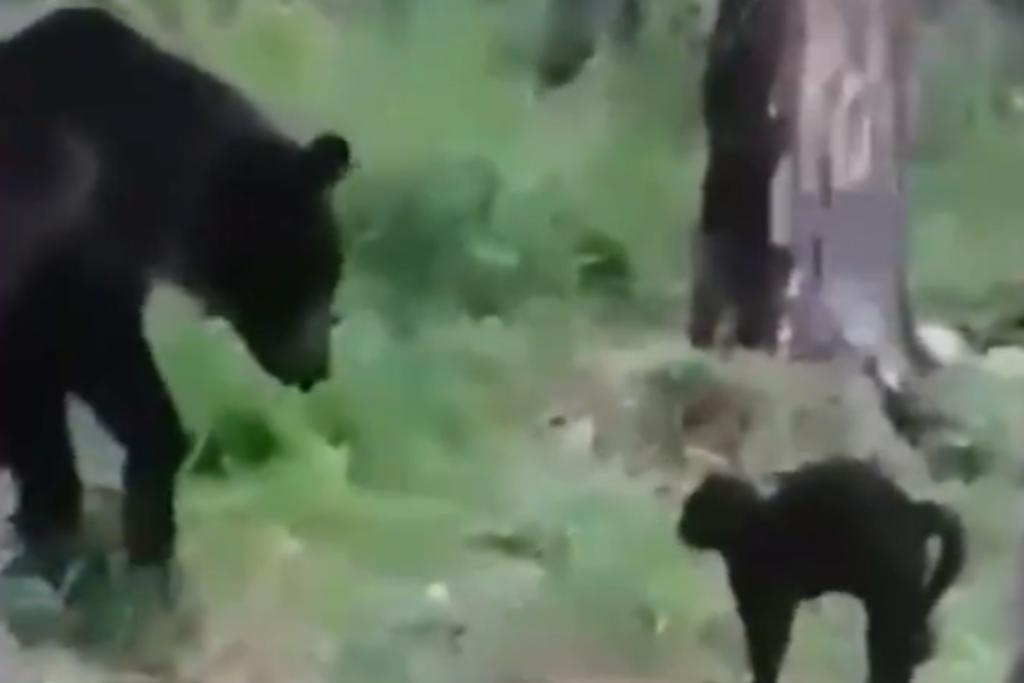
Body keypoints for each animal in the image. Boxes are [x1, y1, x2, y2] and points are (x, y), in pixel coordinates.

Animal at [0, 6, 352, 620]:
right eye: (309, 279)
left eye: (331, 274)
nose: (316, 368)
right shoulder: (40, 275)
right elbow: (40, 395)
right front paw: (51, 531)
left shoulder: (97, 289)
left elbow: (126, 384)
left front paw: (148, 543)